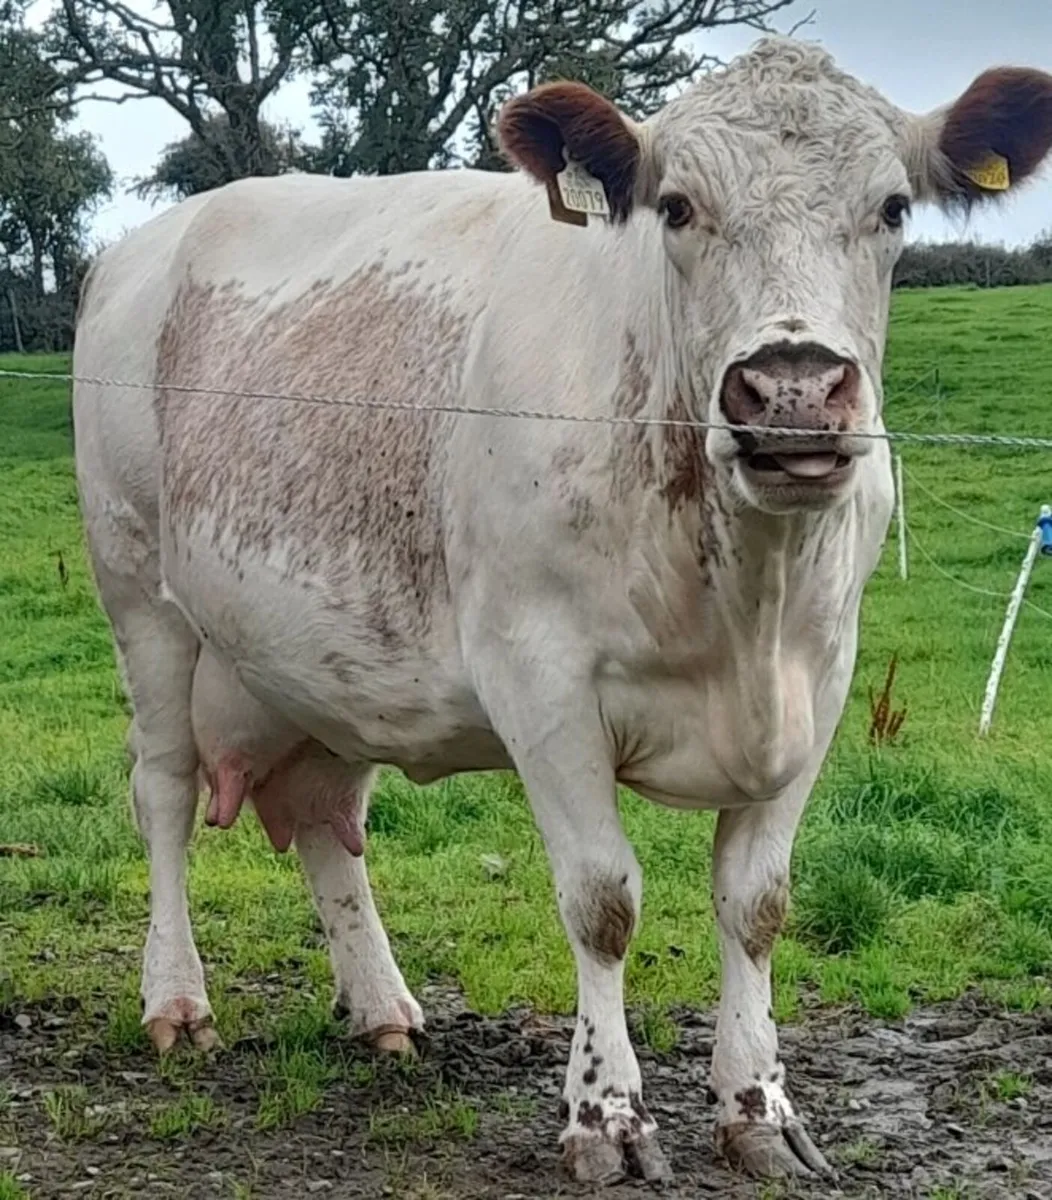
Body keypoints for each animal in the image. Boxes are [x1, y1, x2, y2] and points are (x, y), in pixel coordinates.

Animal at [72, 37, 1052, 1184]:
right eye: (676, 206)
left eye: (893, 206)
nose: (793, 391)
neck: (743, 598)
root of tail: (146, 243)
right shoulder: (538, 680)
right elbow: (602, 901)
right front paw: (607, 1116)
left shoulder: (821, 682)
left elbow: (757, 906)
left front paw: (759, 1107)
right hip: (142, 597)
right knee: (164, 794)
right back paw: (178, 1002)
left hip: (325, 655)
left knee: (324, 819)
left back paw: (382, 1010)